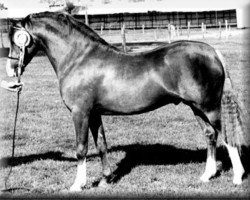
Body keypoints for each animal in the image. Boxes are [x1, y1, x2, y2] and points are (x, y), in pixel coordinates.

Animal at [5, 12, 246, 191]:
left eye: (17, 40)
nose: (10, 69)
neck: (78, 58)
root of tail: (212, 52)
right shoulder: (95, 113)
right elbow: (101, 145)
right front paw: (105, 180)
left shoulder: (80, 112)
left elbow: (81, 148)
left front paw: (77, 185)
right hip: (196, 108)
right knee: (210, 135)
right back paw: (207, 175)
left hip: (210, 108)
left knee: (227, 137)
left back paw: (237, 177)